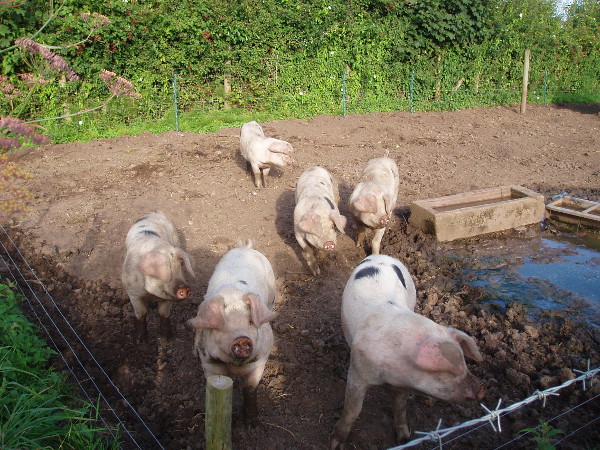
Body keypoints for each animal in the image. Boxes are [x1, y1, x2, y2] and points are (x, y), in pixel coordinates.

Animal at [120, 211, 196, 342]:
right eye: (164, 270)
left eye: (180, 265)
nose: (184, 287)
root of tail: (155, 213)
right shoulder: (132, 293)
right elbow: (141, 313)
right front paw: (140, 341)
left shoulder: (167, 298)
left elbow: (163, 313)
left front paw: (167, 339)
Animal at [186, 239, 278, 426]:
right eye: (221, 324)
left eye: (250, 321)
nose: (241, 338)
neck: (234, 366)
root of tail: (245, 248)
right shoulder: (209, 364)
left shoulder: (260, 361)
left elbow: (250, 389)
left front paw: (251, 424)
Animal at [330, 255, 486, 448]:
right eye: (452, 370)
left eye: (465, 363)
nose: (482, 389)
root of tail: (379, 255)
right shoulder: (358, 373)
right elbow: (353, 409)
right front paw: (336, 444)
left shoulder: (401, 385)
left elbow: (400, 407)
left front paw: (405, 440)